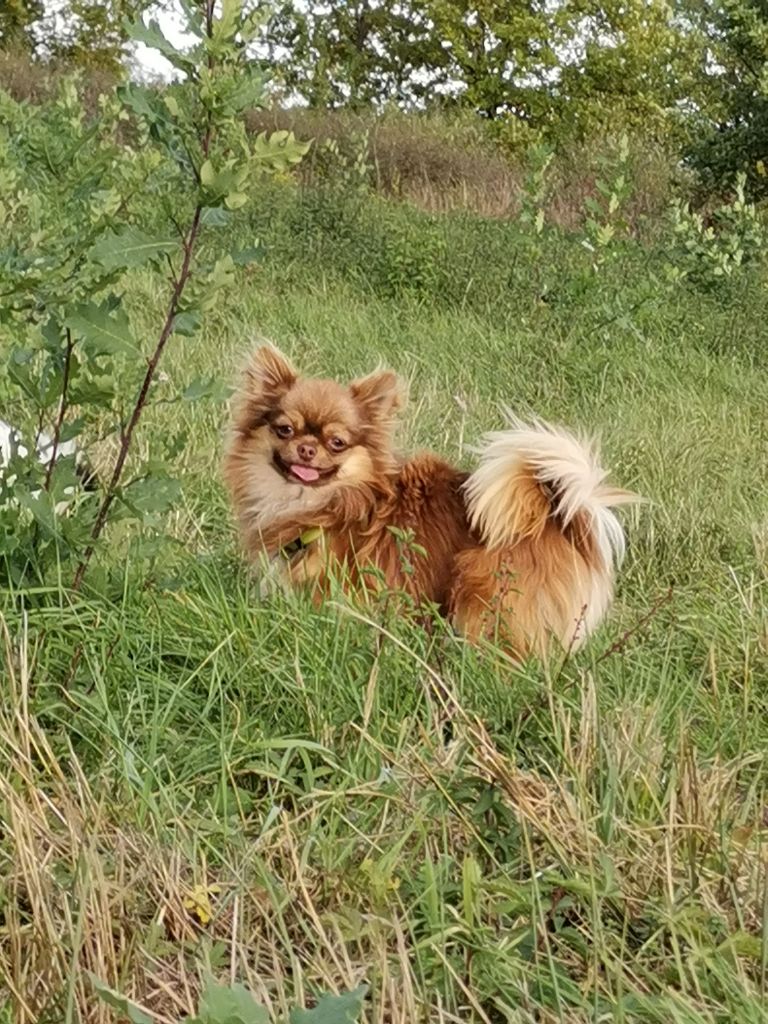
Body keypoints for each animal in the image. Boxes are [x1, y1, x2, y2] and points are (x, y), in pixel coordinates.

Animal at [225, 348, 638, 659]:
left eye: (337, 442)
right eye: (284, 430)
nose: (307, 449)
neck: (328, 503)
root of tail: (560, 516)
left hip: (487, 603)